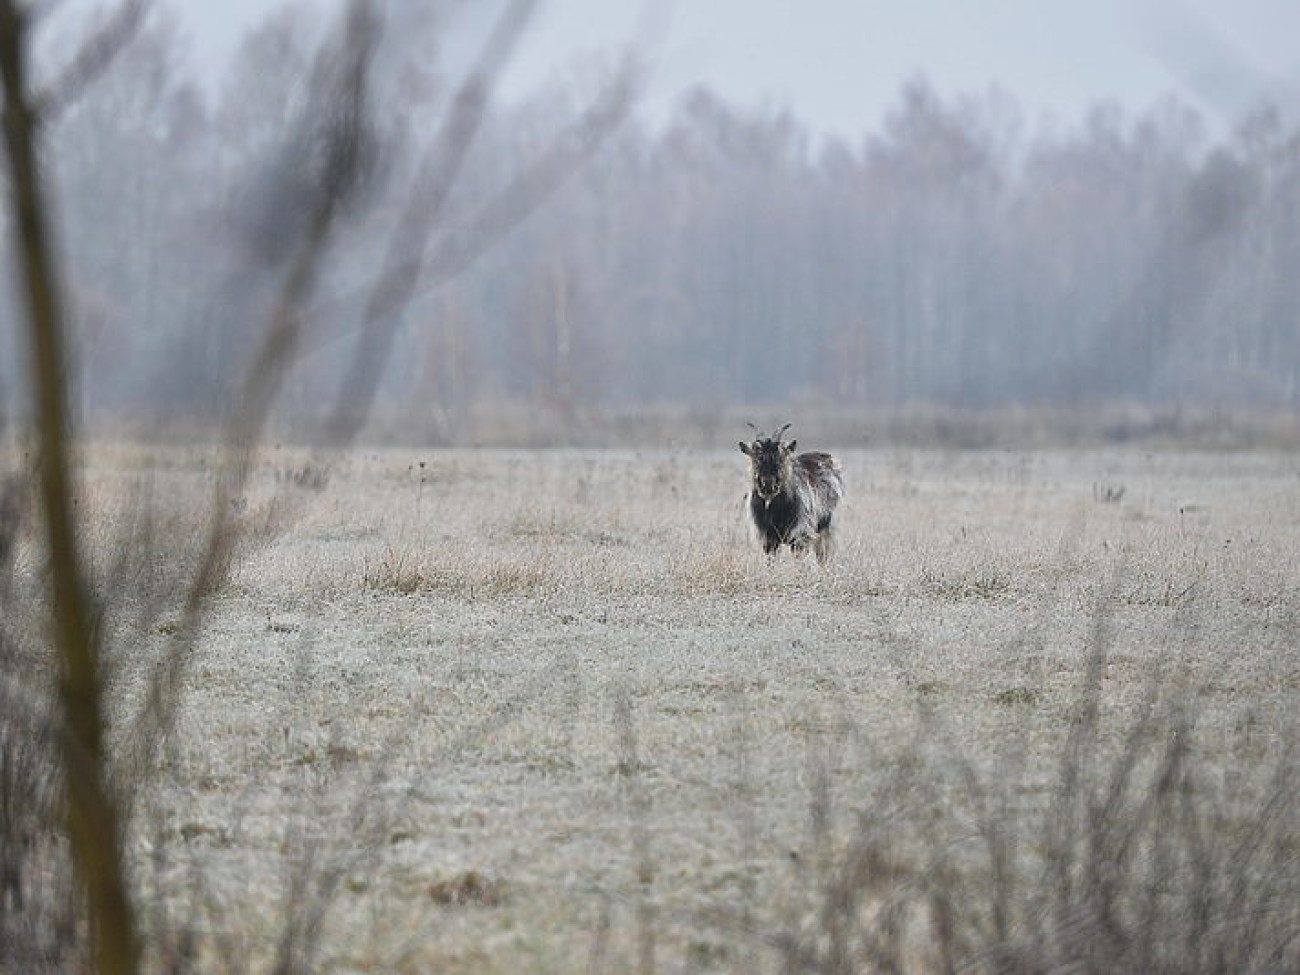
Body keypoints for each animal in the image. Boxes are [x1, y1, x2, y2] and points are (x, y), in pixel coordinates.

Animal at [743, 421, 842, 564]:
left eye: (780, 459)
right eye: (756, 460)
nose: (768, 485)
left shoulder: (799, 536)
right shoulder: (769, 538)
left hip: (826, 527)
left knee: (822, 554)